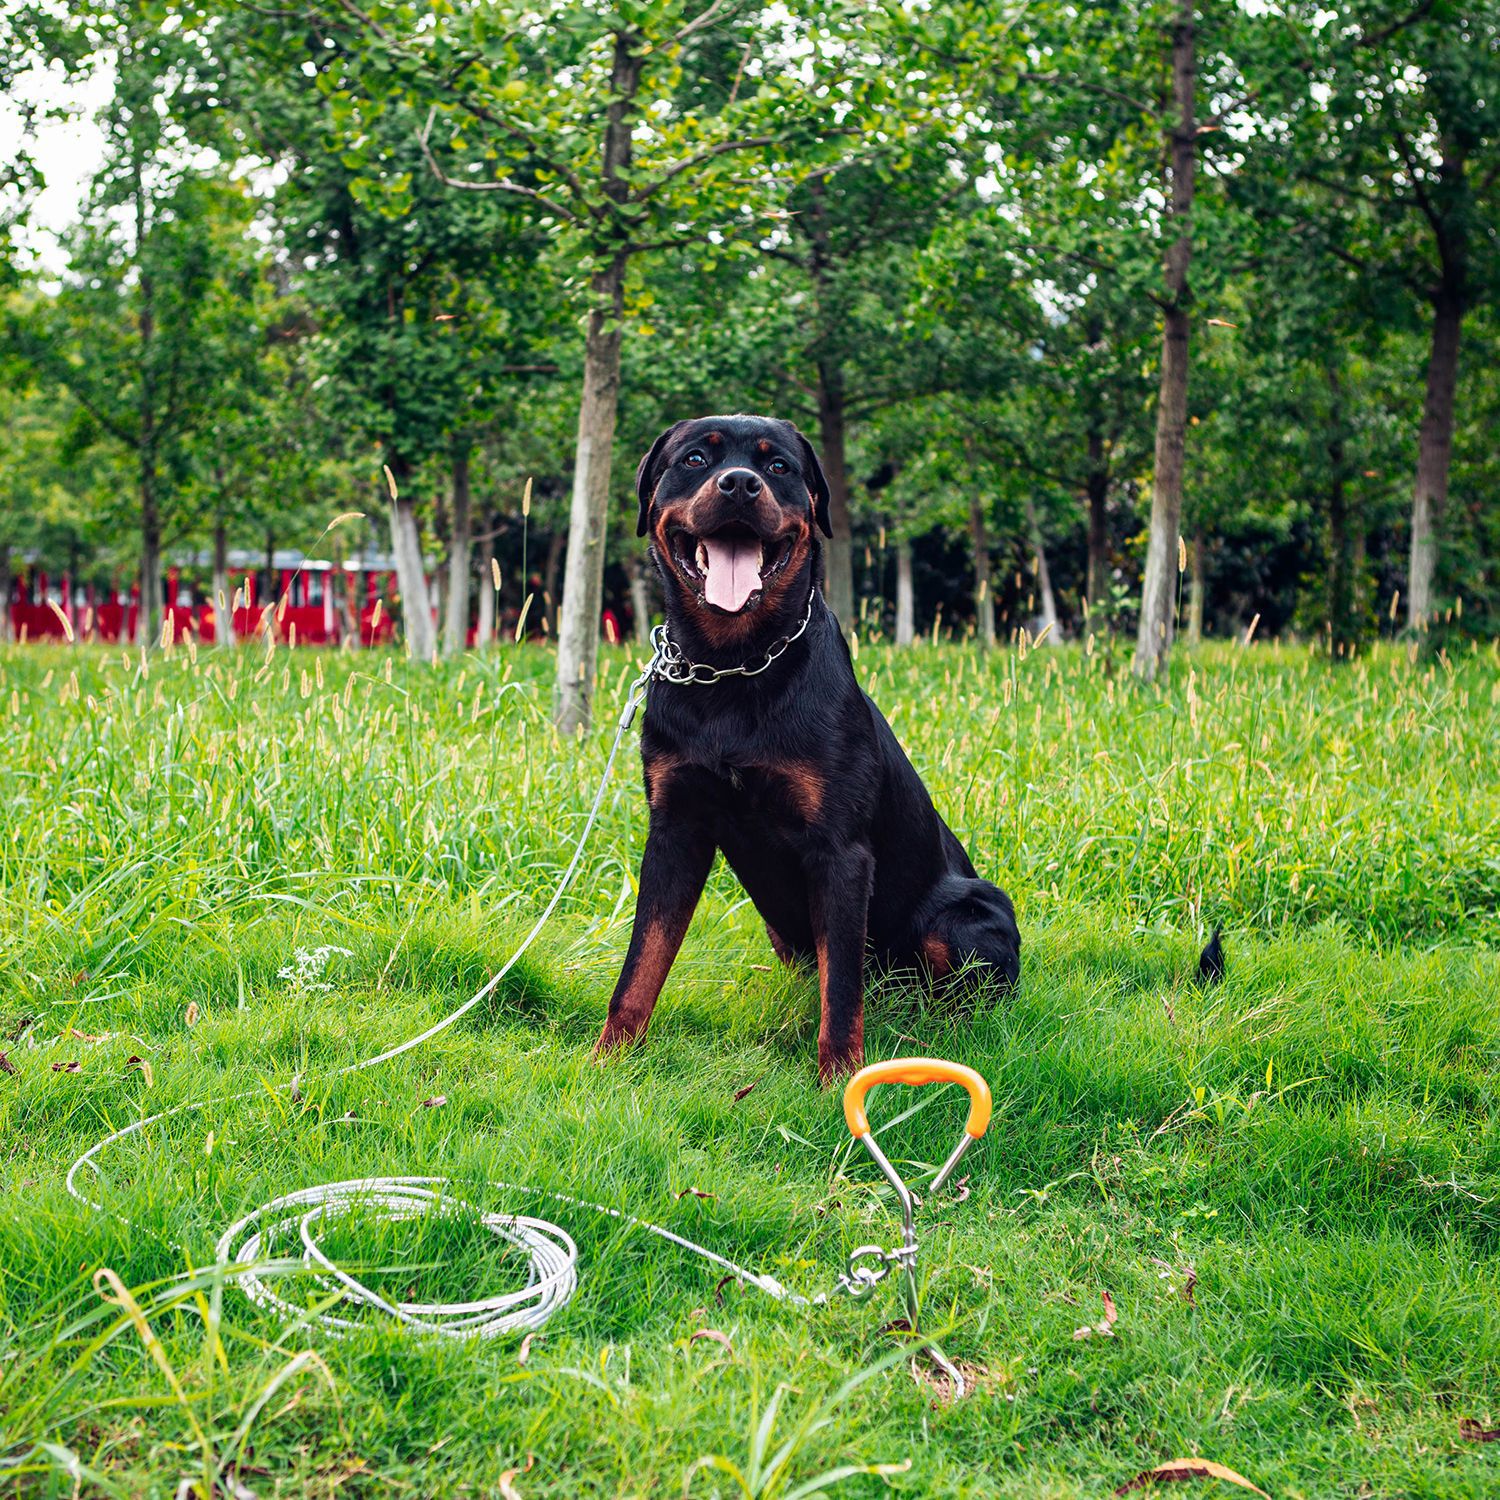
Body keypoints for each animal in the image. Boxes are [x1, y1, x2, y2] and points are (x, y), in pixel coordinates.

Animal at [591, 414, 1026, 1080]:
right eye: (694, 459)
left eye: (778, 467)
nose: (739, 484)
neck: (734, 665)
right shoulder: (674, 829)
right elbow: (643, 960)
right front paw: (610, 1059)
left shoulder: (840, 851)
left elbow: (841, 991)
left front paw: (841, 1079)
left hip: (967, 916)